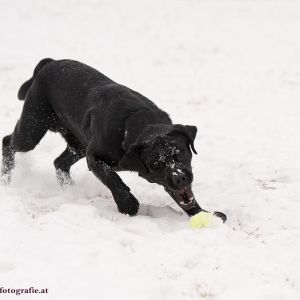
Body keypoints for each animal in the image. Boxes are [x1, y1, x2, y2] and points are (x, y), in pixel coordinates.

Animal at [0, 58, 225, 220]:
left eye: (181, 152)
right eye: (155, 164)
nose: (180, 177)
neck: (131, 123)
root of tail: (48, 63)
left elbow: (183, 196)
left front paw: (203, 214)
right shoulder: (94, 156)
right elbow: (112, 178)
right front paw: (128, 205)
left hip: (77, 143)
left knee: (59, 162)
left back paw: (70, 190)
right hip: (34, 127)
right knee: (8, 142)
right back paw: (6, 177)